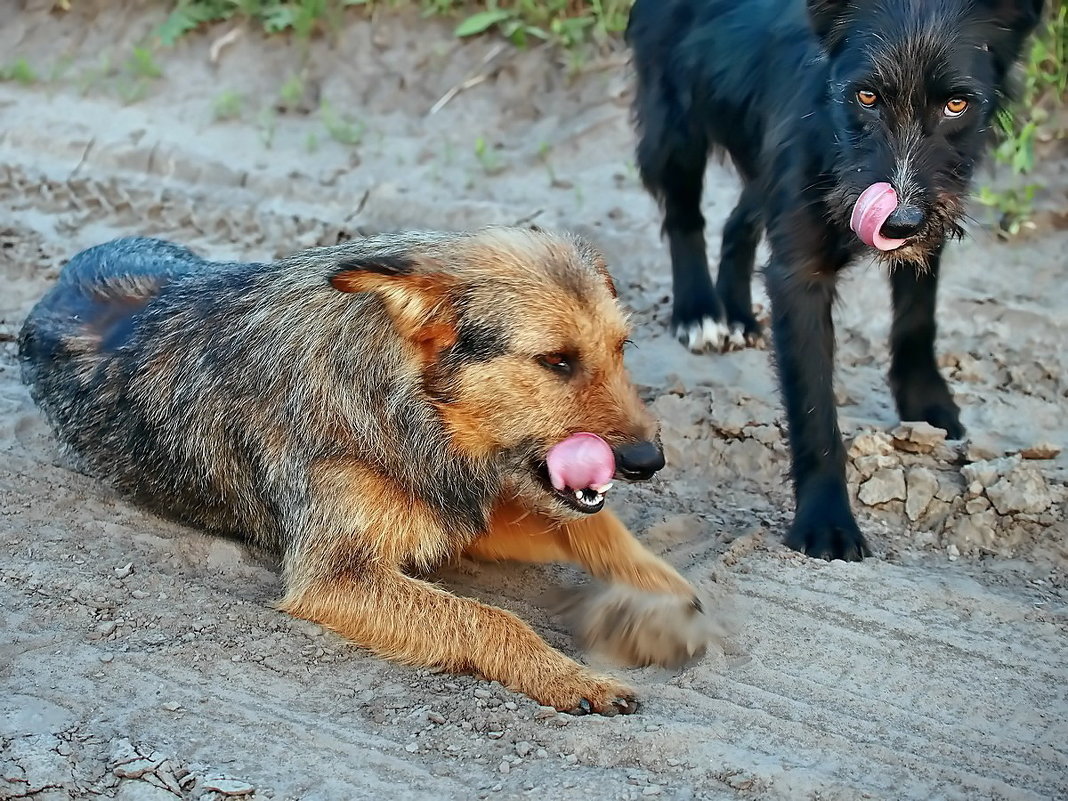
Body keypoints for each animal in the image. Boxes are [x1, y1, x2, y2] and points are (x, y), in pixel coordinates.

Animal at [18, 228, 709, 717]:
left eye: (621, 348)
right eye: (557, 361)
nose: (649, 462)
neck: (407, 402)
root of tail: (61, 275)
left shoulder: (466, 504)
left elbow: (598, 529)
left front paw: (669, 598)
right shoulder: (335, 577)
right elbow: (492, 618)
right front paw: (569, 677)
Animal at [623, 0, 1042, 559]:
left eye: (956, 104)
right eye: (865, 96)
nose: (898, 221)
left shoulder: (934, 210)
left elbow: (918, 315)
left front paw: (925, 400)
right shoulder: (801, 275)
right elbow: (814, 406)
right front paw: (826, 521)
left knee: (739, 219)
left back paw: (737, 311)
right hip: (675, 118)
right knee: (684, 215)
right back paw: (700, 312)